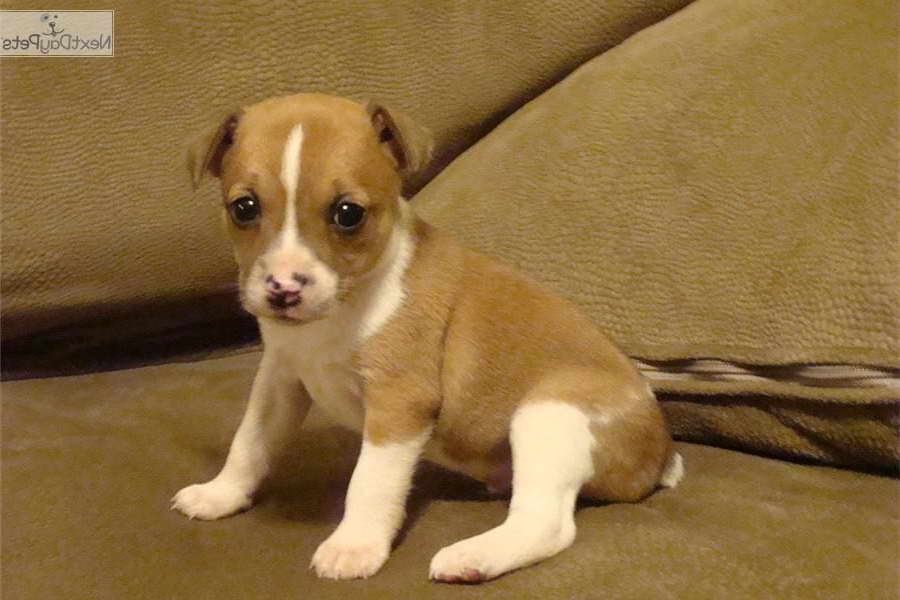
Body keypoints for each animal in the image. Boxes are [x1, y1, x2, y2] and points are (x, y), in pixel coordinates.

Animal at [174, 92, 684, 580]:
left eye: (347, 214)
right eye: (244, 208)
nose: (283, 289)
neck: (345, 309)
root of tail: (660, 454)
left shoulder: (399, 404)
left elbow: (370, 481)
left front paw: (354, 546)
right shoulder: (280, 380)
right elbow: (249, 443)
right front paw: (221, 493)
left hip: (549, 415)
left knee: (546, 523)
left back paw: (471, 556)